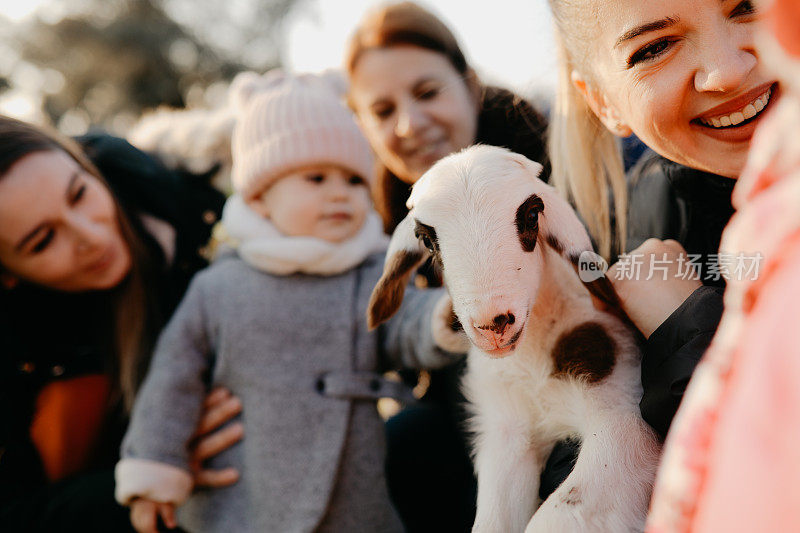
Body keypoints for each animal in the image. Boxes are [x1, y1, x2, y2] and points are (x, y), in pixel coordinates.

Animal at [368, 145, 664, 532]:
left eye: (532, 214)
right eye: (427, 239)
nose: (493, 324)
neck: (532, 363)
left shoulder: (623, 411)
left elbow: (562, 512)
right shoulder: (506, 432)